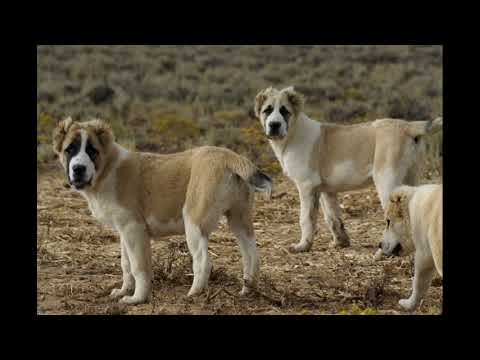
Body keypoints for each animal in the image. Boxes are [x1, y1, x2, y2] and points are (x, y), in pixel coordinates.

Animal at [53, 117, 272, 304]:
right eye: (69, 150)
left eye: (92, 151)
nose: (78, 169)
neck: (107, 168)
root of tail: (230, 156)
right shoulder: (124, 231)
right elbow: (126, 265)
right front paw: (123, 291)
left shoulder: (134, 229)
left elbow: (139, 267)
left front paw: (137, 298)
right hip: (239, 219)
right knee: (252, 255)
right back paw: (248, 290)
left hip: (193, 221)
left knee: (203, 260)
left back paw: (193, 294)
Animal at [255, 86, 442, 252]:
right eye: (267, 110)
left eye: (284, 111)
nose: (274, 125)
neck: (293, 133)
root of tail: (407, 126)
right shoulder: (326, 190)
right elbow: (333, 218)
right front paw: (340, 243)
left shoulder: (306, 186)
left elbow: (306, 219)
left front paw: (302, 246)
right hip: (410, 177)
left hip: (387, 181)